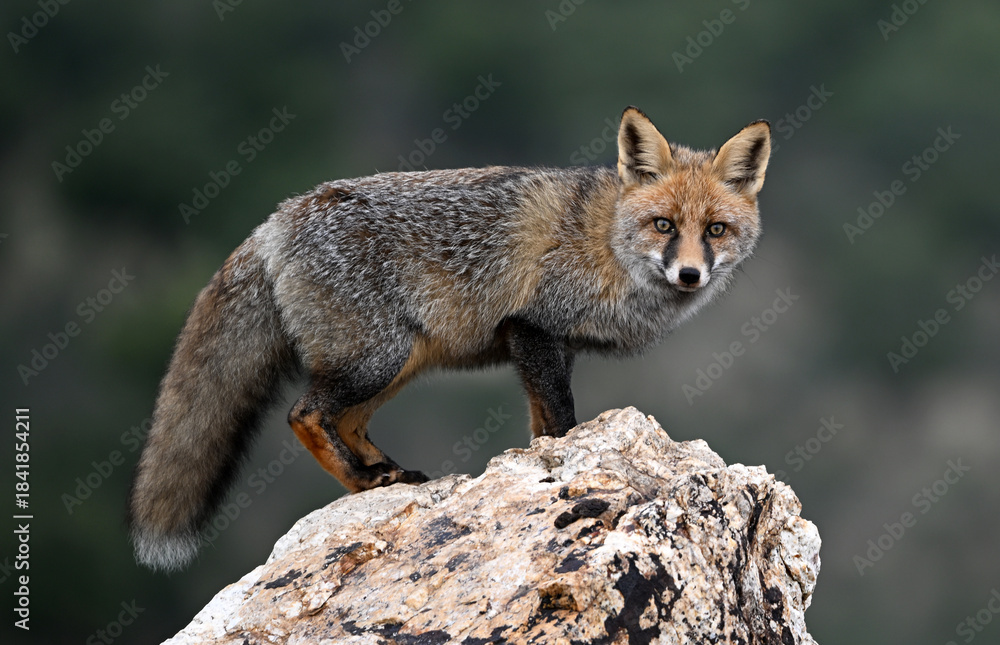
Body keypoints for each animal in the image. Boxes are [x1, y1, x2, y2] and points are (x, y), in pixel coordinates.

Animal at [127, 106, 771, 571]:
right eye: (663, 225)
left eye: (716, 231)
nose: (689, 274)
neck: (608, 242)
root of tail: (276, 220)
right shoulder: (532, 328)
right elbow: (560, 418)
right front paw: (563, 469)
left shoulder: (551, 345)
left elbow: (541, 426)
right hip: (377, 358)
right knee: (305, 414)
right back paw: (362, 479)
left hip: (399, 360)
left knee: (348, 421)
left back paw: (387, 473)